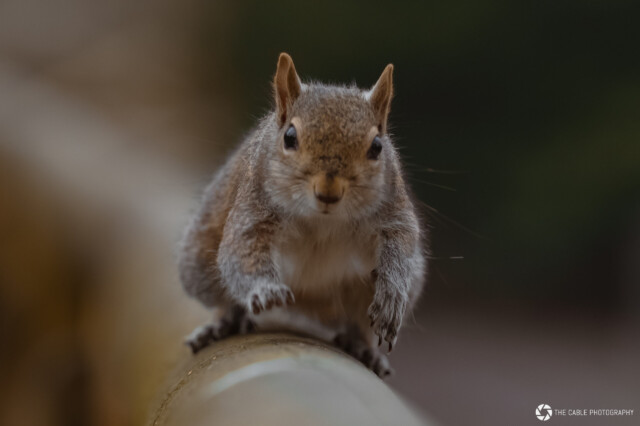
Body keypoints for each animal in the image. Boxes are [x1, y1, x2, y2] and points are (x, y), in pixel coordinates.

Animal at [178, 53, 426, 377]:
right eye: (290, 137)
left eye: (377, 146)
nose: (328, 192)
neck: (323, 220)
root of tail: (308, 300)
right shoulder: (254, 207)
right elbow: (241, 250)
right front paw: (265, 290)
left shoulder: (394, 211)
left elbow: (402, 247)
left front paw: (392, 294)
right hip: (199, 264)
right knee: (223, 295)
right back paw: (224, 322)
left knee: (358, 322)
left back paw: (363, 347)